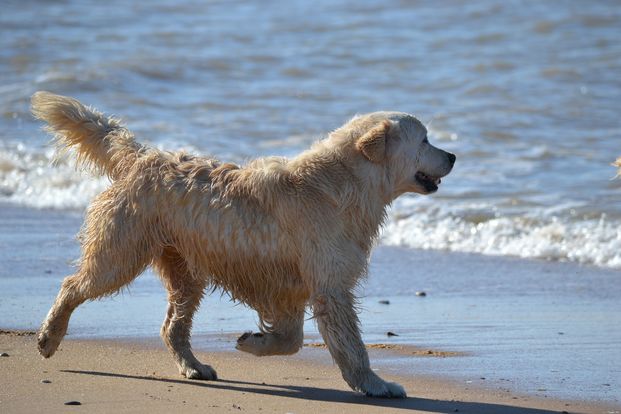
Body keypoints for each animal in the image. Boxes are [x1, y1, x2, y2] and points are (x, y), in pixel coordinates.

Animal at [30, 91, 456, 398]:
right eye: (425, 140)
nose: (453, 155)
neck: (343, 185)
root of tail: (143, 157)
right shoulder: (330, 286)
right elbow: (351, 347)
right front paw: (375, 385)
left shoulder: (291, 284)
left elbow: (291, 339)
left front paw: (255, 342)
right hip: (120, 254)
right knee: (73, 285)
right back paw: (49, 337)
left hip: (184, 269)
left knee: (172, 325)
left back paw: (194, 366)